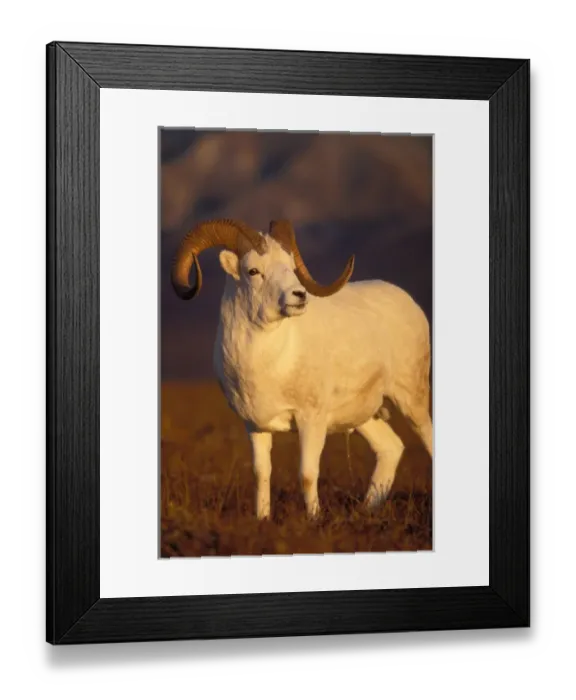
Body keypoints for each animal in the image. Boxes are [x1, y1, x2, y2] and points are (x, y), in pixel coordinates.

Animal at [171, 219, 432, 519]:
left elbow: (307, 474)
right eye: (253, 271)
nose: (299, 295)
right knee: (391, 448)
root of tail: (409, 303)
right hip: (365, 416)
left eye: (290, 267)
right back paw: (365, 511)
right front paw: (262, 519)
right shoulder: (255, 427)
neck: (269, 364)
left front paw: (314, 520)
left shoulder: (311, 420)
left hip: (412, 400)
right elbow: (261, 474)